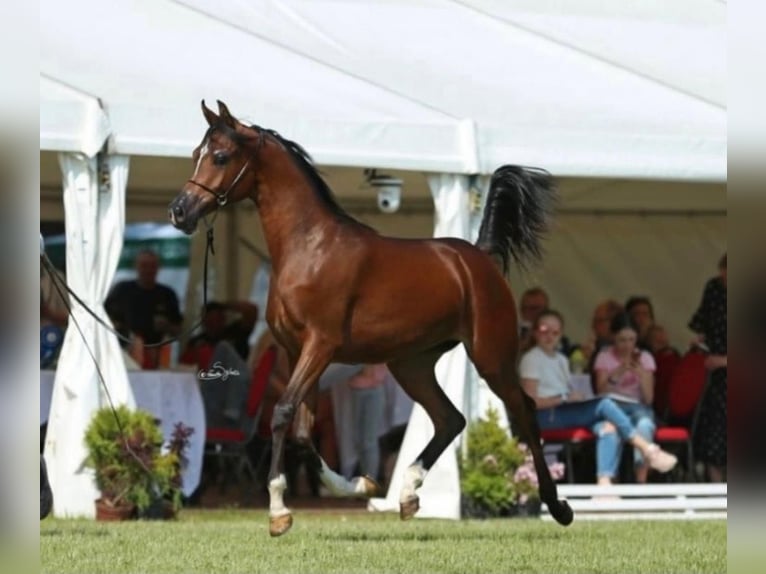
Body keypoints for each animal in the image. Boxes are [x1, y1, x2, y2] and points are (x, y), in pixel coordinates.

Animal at [171, 101, 572, 536]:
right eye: (195, 154)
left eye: (220, 156)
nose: (180, 211)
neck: (309, 247)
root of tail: (478, 258)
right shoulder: (298, 352)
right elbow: (302, 433)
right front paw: (362, 484)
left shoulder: (320, 346)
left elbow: (282, 415)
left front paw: (278, 510)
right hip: (411, 364)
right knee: (450, 419)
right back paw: (408, 493)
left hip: (490, 356)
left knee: (525, 411)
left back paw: (558, 505)